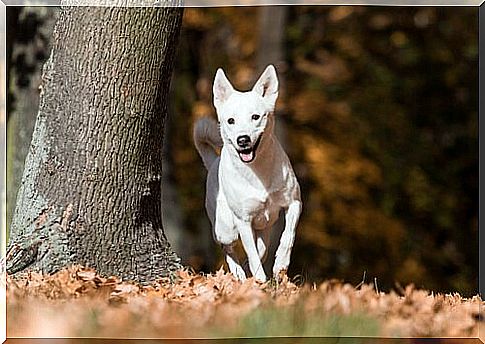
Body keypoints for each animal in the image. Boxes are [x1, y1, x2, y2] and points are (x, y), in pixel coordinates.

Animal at [192, 65, 298, 282]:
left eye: (256, 117)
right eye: (231, 120)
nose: (243, 140)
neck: (258, 171)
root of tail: (213, 162)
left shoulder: (294, 201)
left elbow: (288, 234)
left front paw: (281, 264)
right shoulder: (243, 221)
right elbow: (251, 253)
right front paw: (260, 281)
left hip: (265, 226)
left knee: (261, 248)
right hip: (225, 228)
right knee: (227, 247)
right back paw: (239, 273)